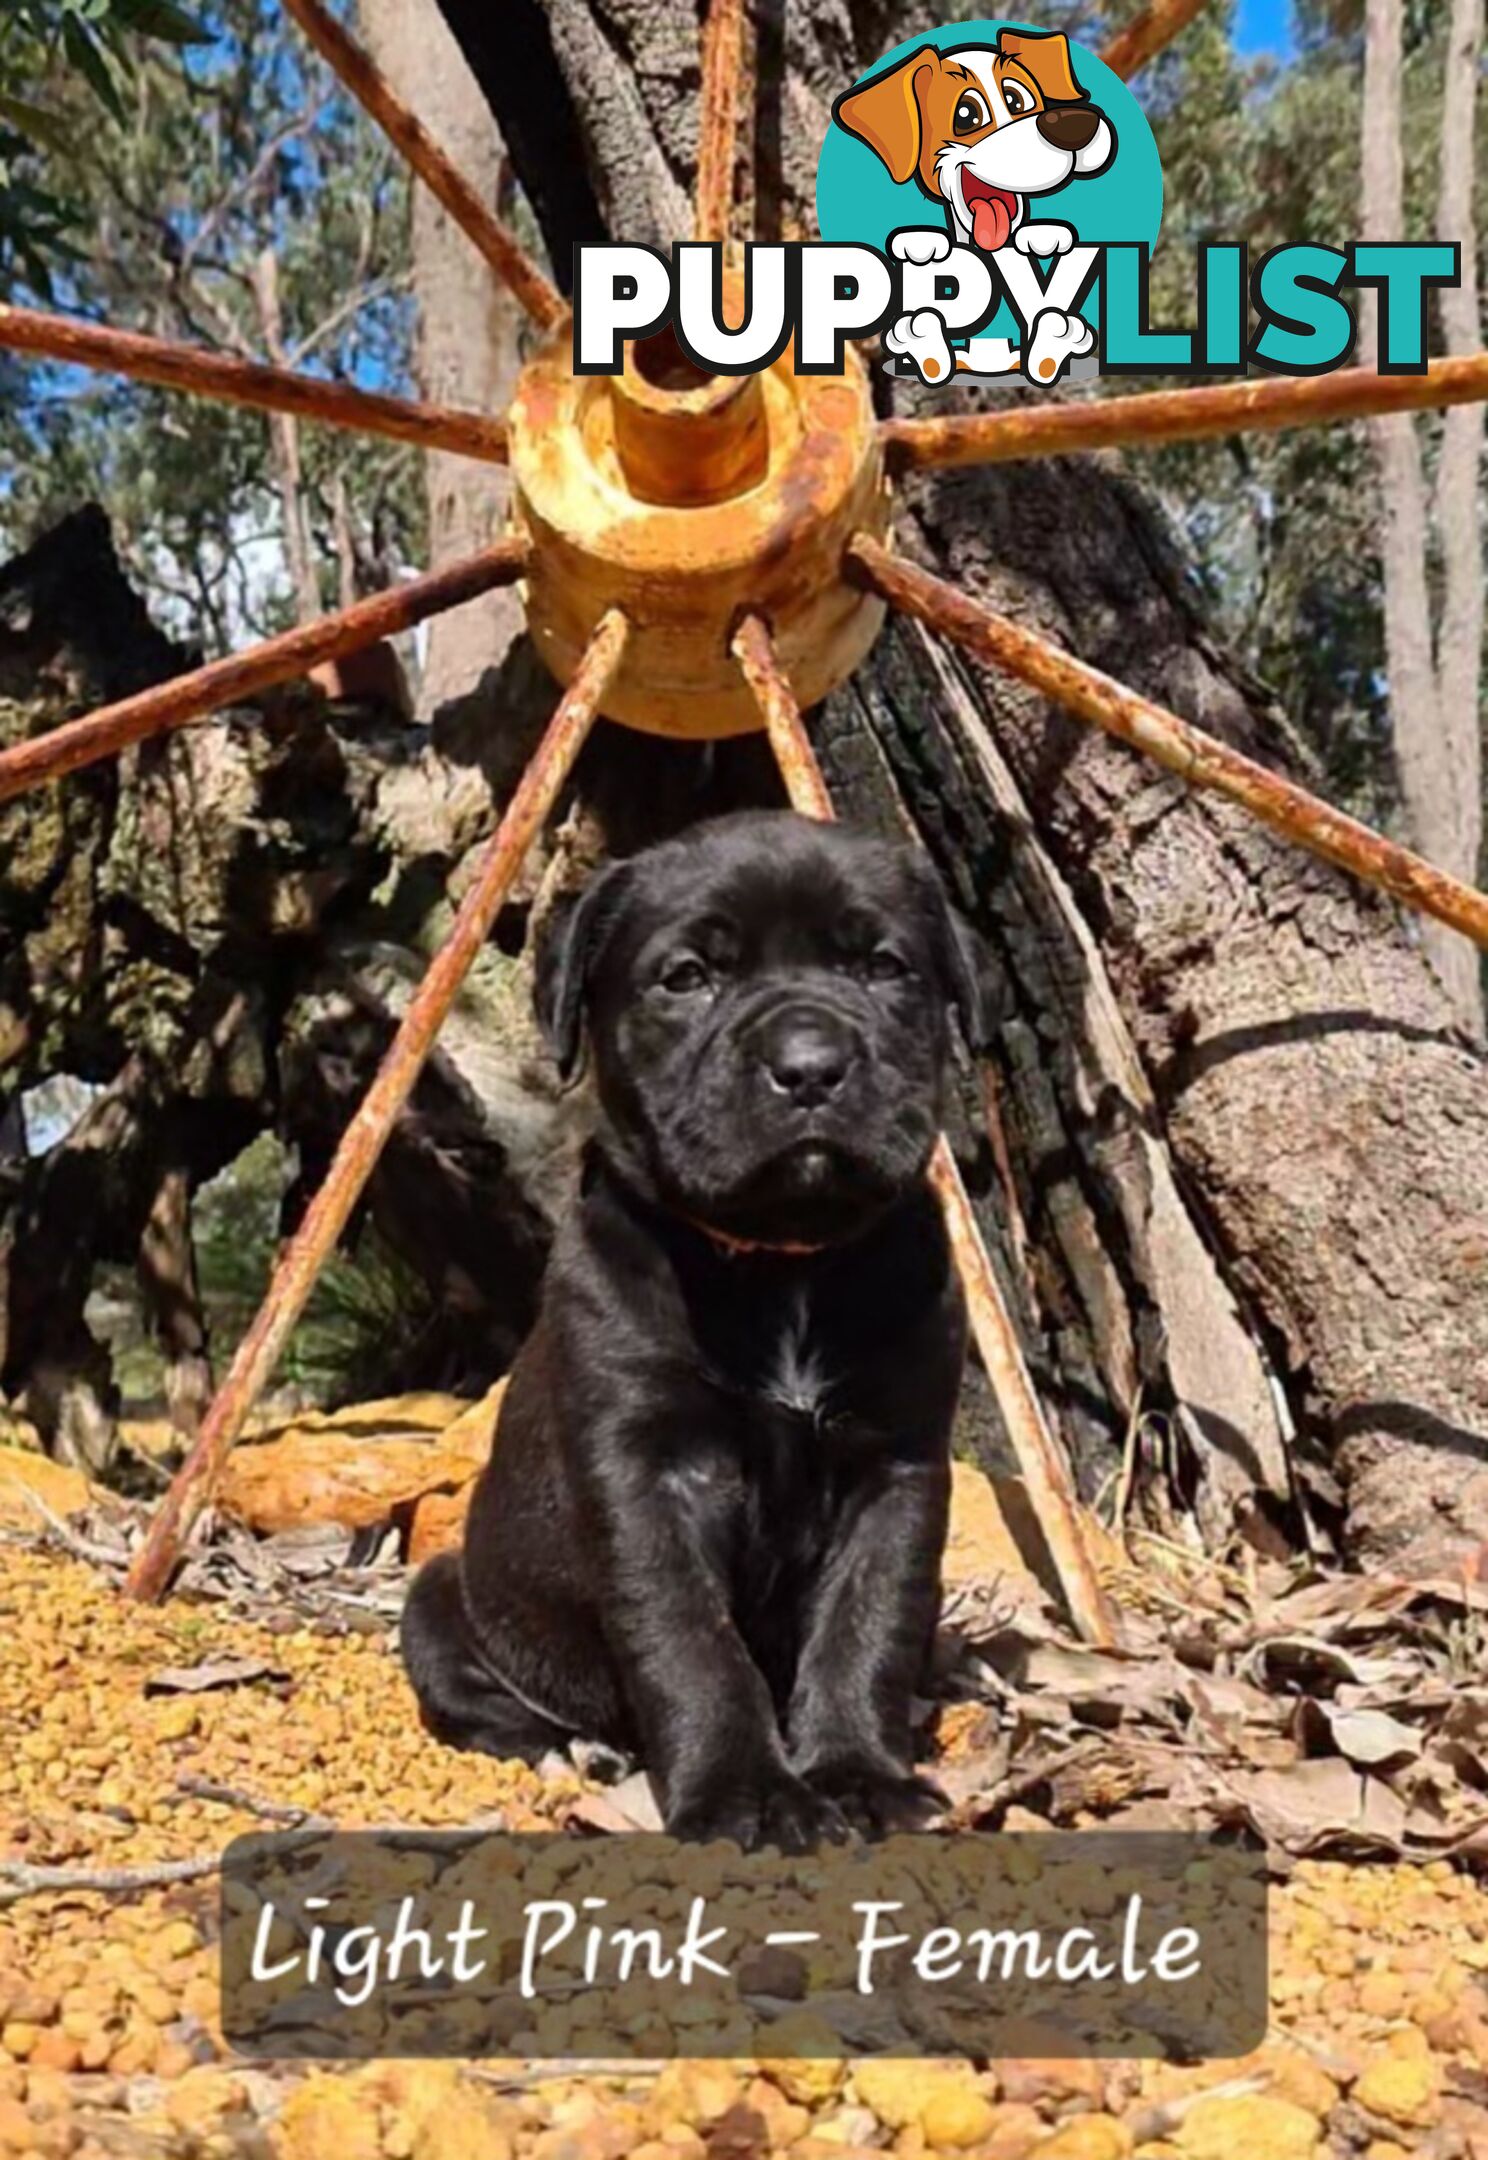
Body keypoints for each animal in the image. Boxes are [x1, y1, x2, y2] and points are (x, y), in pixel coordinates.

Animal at [403, 812, 984, 1857]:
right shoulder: (644, 1472)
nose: (810, 1066)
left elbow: (867, 1621)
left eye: (884, 967)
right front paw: (748, 1794)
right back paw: (584, 1752)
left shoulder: (896, 1464)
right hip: (439, 1599)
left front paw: (859, 1777)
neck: (784, 1264)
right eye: (686, 977)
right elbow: (690, 1643)